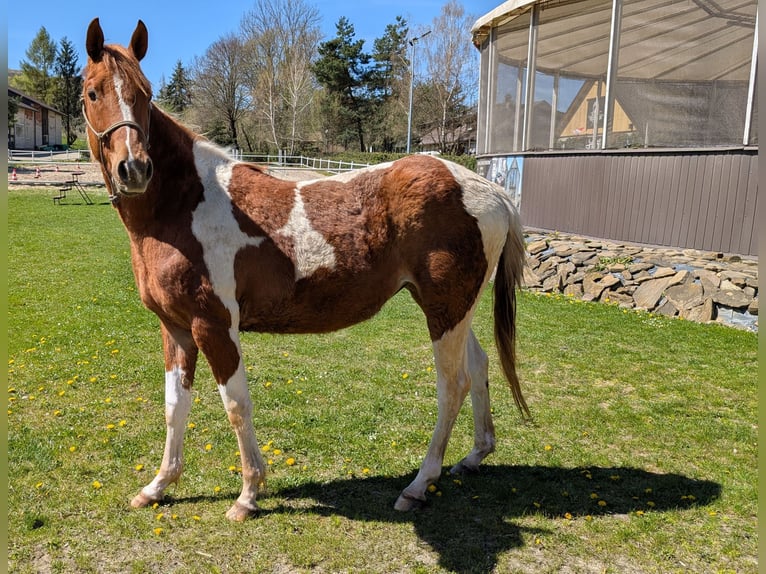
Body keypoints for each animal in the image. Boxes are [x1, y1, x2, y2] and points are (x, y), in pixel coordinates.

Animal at [82, 18, 529, 521]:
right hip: (453, 310)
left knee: (452, 386)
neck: (183, 206)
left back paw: (417, 485)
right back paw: (473, 457)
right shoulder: (175, 328)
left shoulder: (213, 326)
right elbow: (175, 407)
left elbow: (236, 406)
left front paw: (248, 494)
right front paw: (158, 486)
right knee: (479, 366)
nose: (134, 169)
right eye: (93, 92)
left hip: (445, 313)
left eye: (145, 93)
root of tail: (491, 190)